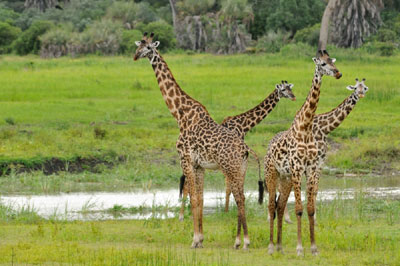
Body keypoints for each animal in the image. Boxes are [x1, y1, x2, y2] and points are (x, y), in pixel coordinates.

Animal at [133, 32, 256, 249]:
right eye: (139, 45)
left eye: (149, 48)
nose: (135, 56)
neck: (179, 114)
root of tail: (245, 149)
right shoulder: (199, 166)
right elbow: (200, 198)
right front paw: (201, 238)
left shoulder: (186, 159)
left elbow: (194, 199)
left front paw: (195, 239)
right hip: (241, 169)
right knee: (240, 196)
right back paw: (240, 240)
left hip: (230, 168)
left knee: (239, 197)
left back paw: (243, 241)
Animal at [178, 80, 296, 220]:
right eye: (283, 90)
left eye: (290, 88)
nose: (293, 97)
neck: (243, 125)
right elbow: (229, 187)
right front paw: (227, 211)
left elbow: (231, 187)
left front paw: (228, 210)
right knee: (186, 185)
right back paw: (183, 215)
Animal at [262, 50, 340, 256]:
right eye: (322, 64)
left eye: (332, 61)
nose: (338, 73)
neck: (306, 127)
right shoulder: (297, 168)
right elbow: (298, 208)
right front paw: (299, 248)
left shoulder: (311, 169)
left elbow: (310, 208)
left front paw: (313, 247)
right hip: (272, 173)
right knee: (271, 206)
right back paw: (271, 246)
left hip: (286, 178)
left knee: (280, 205)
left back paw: (280, 246)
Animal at [268, 78, 370, 223]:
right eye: (356, 88)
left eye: (364, 88)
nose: (360, 95)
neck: (324, 128)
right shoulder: (311, 161)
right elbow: (309, 189)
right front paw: (311, 216)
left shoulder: (320, 161)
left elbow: (314, 189)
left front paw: (314, 217)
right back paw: (283, 217)